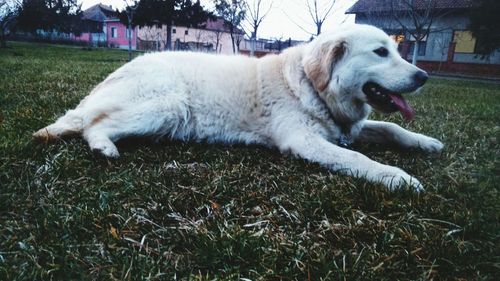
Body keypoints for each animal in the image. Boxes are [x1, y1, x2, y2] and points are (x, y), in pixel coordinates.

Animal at [33, 24, 444, 190]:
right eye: (380, 52)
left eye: (396, 50)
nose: (423, 76)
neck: (315, 88)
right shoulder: (304, 141)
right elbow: (357, 157)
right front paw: (397, 177)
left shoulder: (348, 129)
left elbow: (392, 128)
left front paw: (425, 142)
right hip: (169, 106)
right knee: (93, 124)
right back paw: (103, 146)